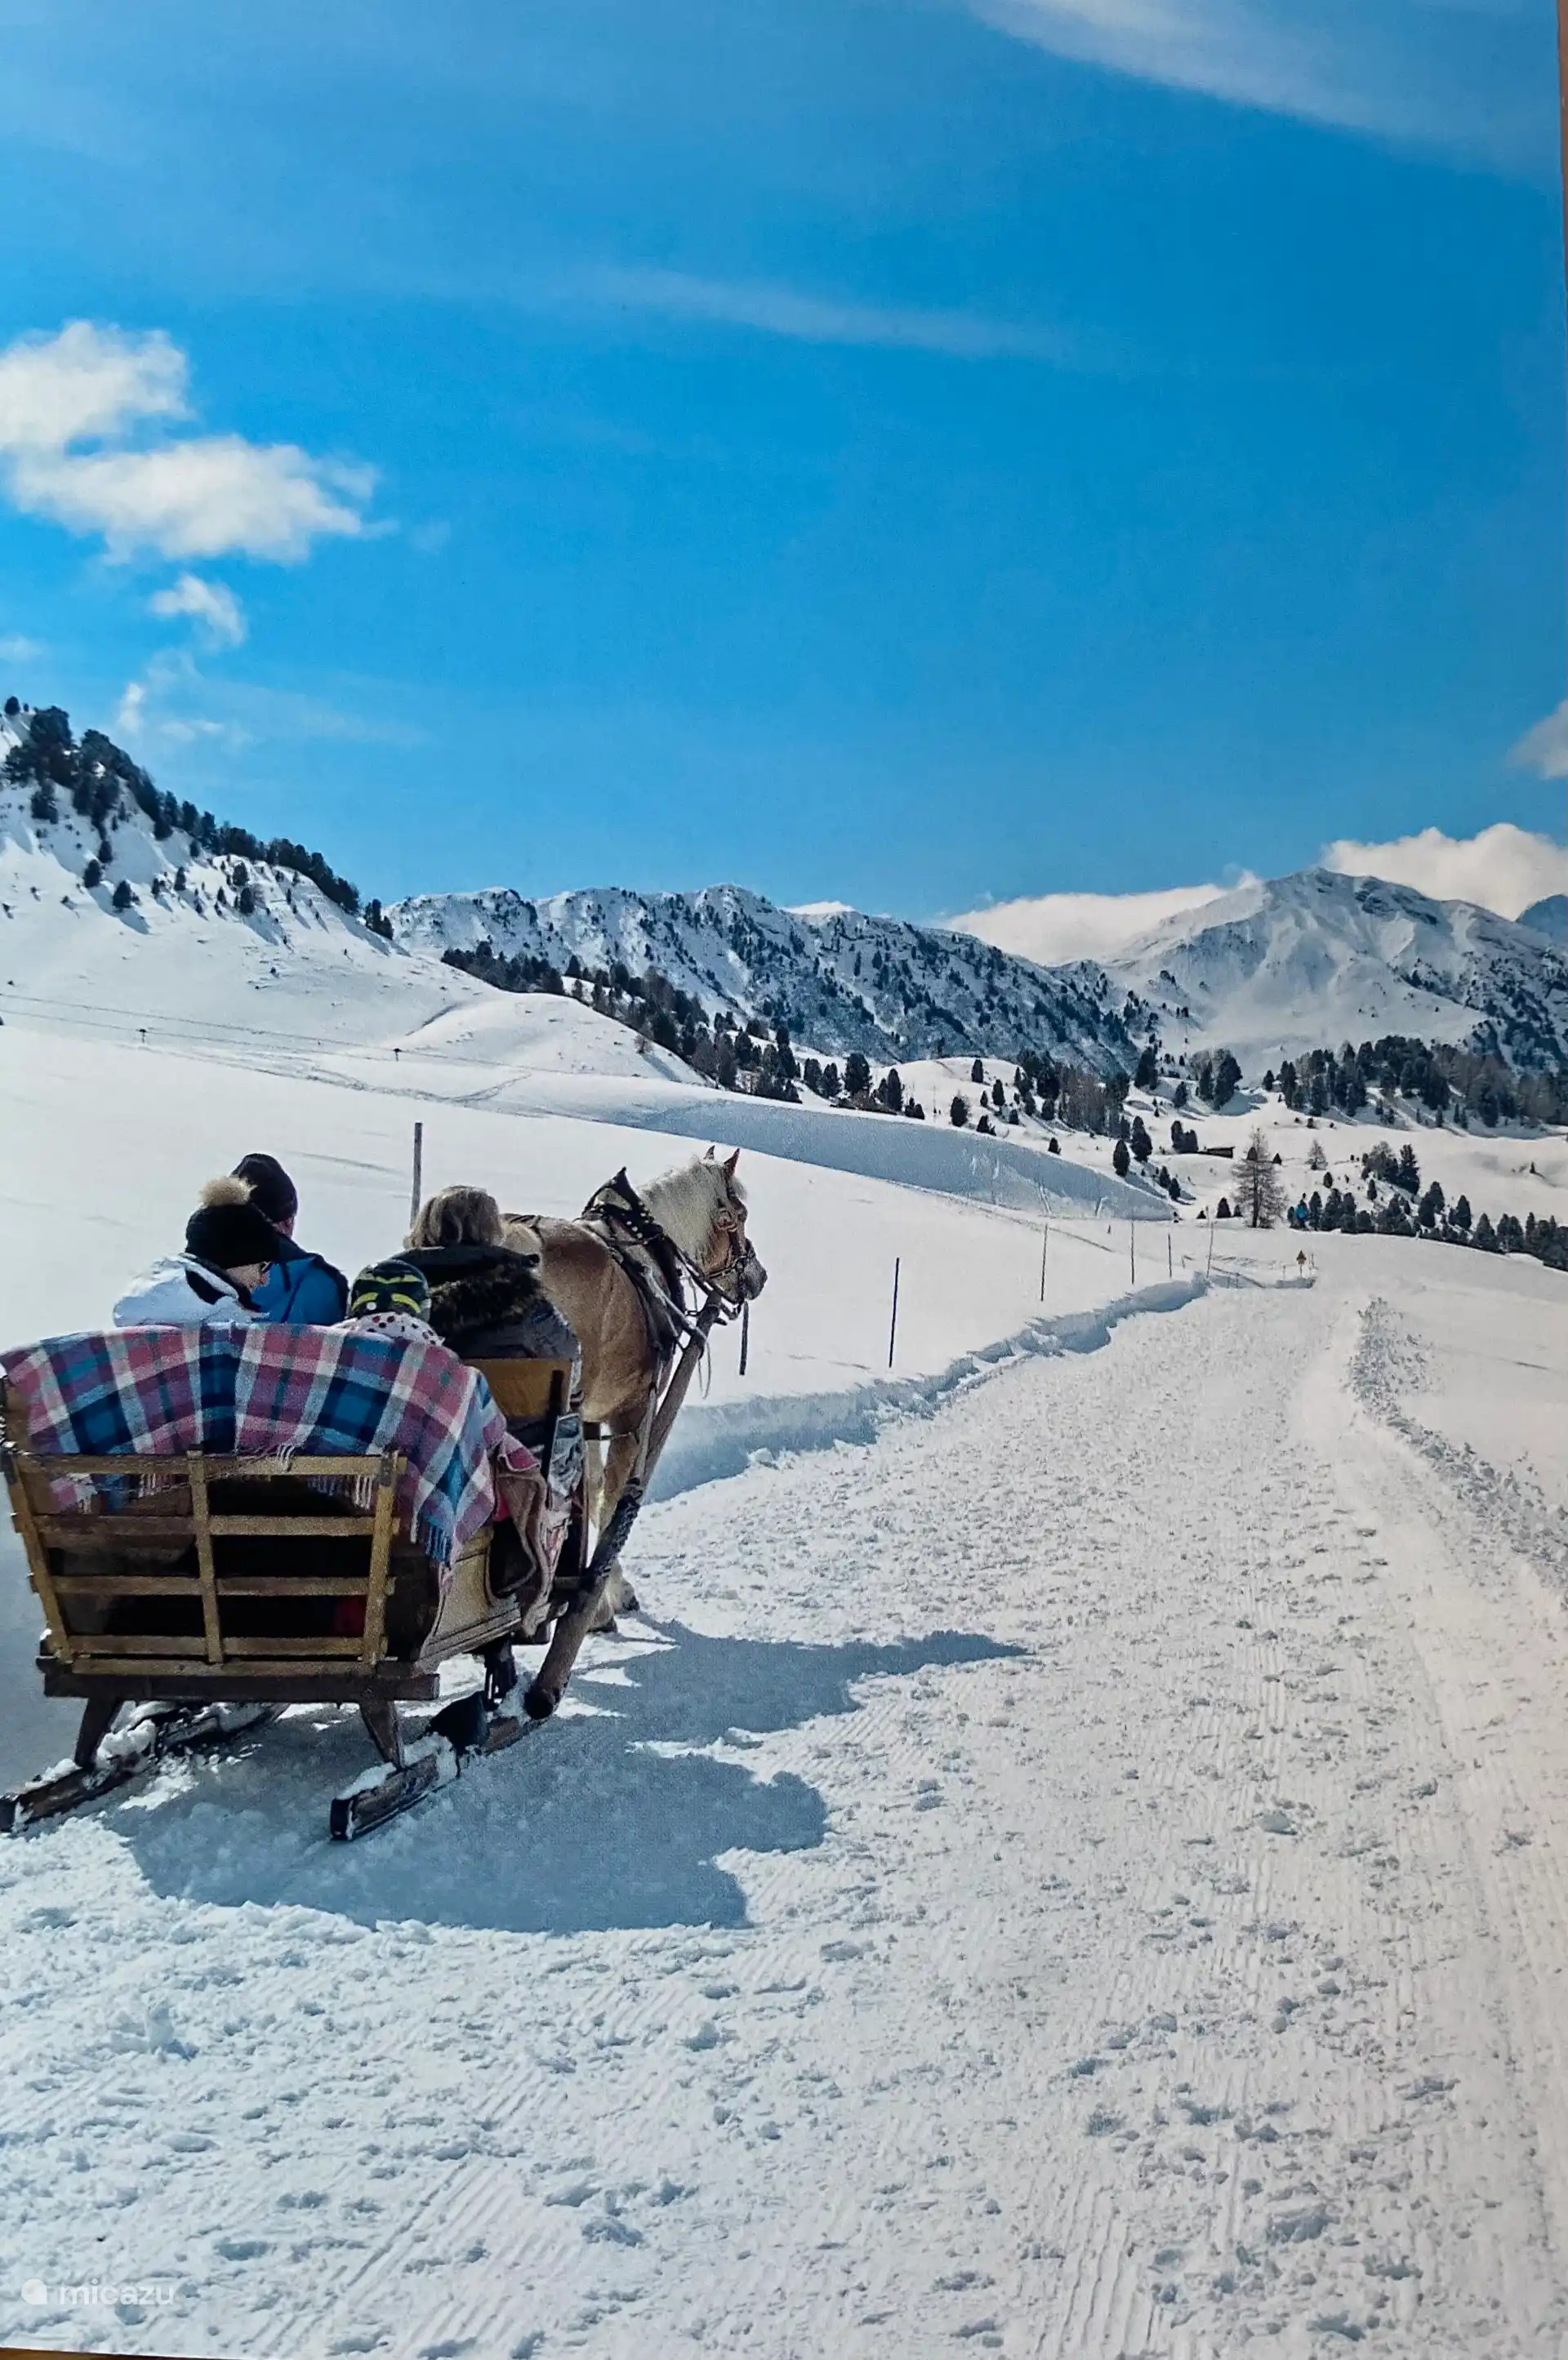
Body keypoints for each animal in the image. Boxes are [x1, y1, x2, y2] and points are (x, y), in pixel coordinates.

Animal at [502, 1148, 766, 1708]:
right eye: (738, 1214)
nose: (758, 1276)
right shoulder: (632, 1413)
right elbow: (616, 1501)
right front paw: (604, 1601)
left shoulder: (589, 1418)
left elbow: (595, 1490)